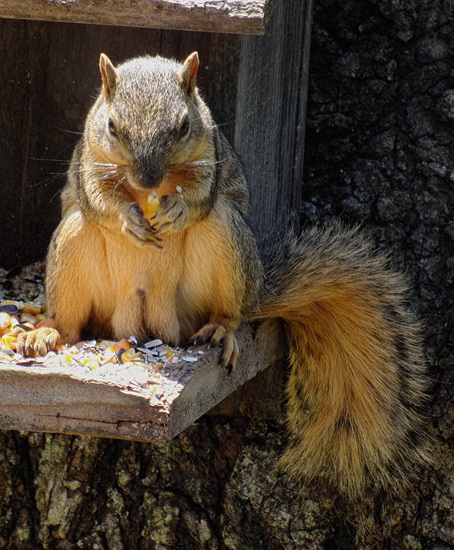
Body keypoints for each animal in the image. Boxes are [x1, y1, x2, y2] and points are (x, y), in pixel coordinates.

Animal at [17, 52, 430, 500]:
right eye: (111, 126)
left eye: (184, 125)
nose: (147, 180)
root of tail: (146, 318)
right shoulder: (88, 160)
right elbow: (97, 195)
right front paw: (128, 217)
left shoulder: (210, 156)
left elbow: (201, 192)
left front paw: (178, 209)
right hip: (74, 243)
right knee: (72, 318)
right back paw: (45, 332)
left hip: (224, 240)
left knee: (229, 305)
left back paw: (221, 329)